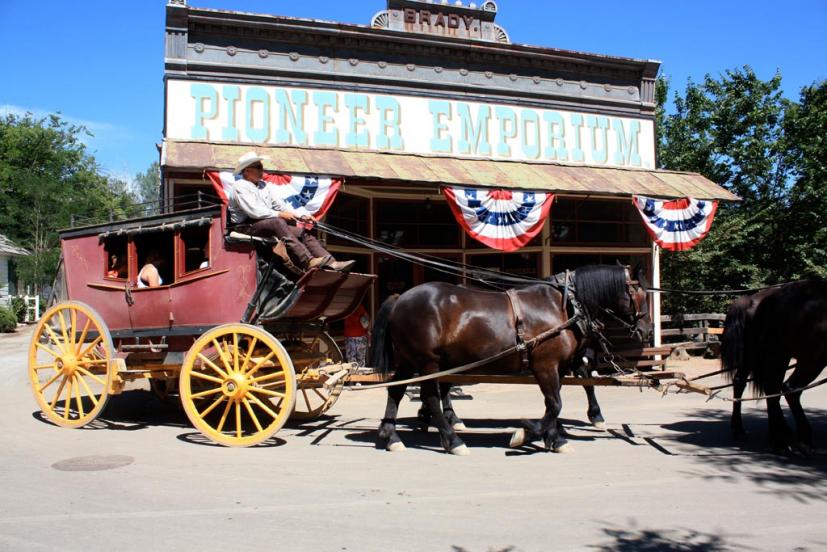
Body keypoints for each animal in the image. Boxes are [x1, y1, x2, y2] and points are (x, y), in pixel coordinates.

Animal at [370, 266, 652, 454]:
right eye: (640, 295)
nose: (647, 331)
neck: (564, 307)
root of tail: (400, 298)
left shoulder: (557, 367)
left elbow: (553, 404)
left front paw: (553, 438)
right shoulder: (545, 365)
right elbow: (555, 404)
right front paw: (526, 432)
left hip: (409, 360)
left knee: (396, 391)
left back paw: (391, 436)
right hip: (428, 362)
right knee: (430, 396)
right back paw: (452, 440)